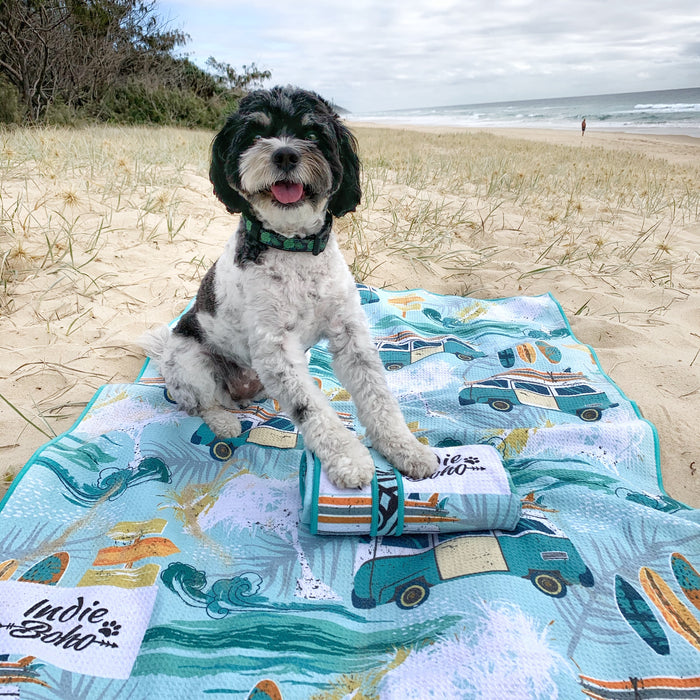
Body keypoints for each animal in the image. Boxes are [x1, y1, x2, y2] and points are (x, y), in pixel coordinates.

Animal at [141, 86, 438, 486]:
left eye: (312, 133)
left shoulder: (350, 334)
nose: (284, 153)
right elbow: (310, 407)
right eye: (255, 134)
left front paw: (406, 449)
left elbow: (378, 396)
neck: (293, 248)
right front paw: (348, 458)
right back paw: (223, 422)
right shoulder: (276, 348)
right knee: (201, 403)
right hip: (191, 361)